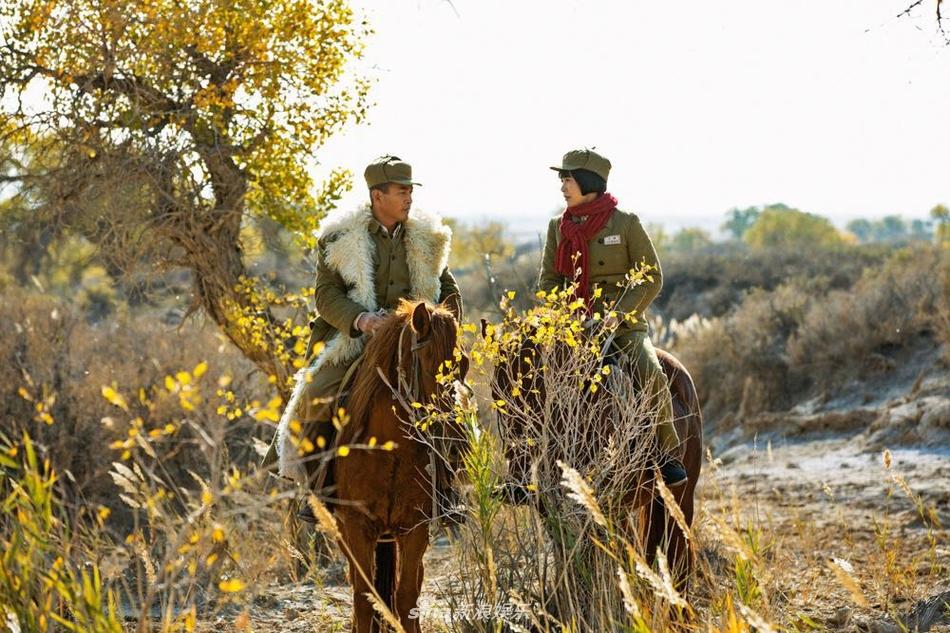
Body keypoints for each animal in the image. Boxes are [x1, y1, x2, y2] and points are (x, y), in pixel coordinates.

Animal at [332, 298, 470, 628]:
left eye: (465, 365)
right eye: (430, 365)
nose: (458, 444)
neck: (388, 451)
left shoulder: (414, 527)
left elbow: (406, 596)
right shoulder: (357, 526)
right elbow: (364, 598)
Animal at [490, 328, 708, 584]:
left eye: (533, 383)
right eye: (495, 391)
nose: (516, 488)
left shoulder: (608, 503)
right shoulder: (556, 510)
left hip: (680, 495)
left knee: (677, 552)